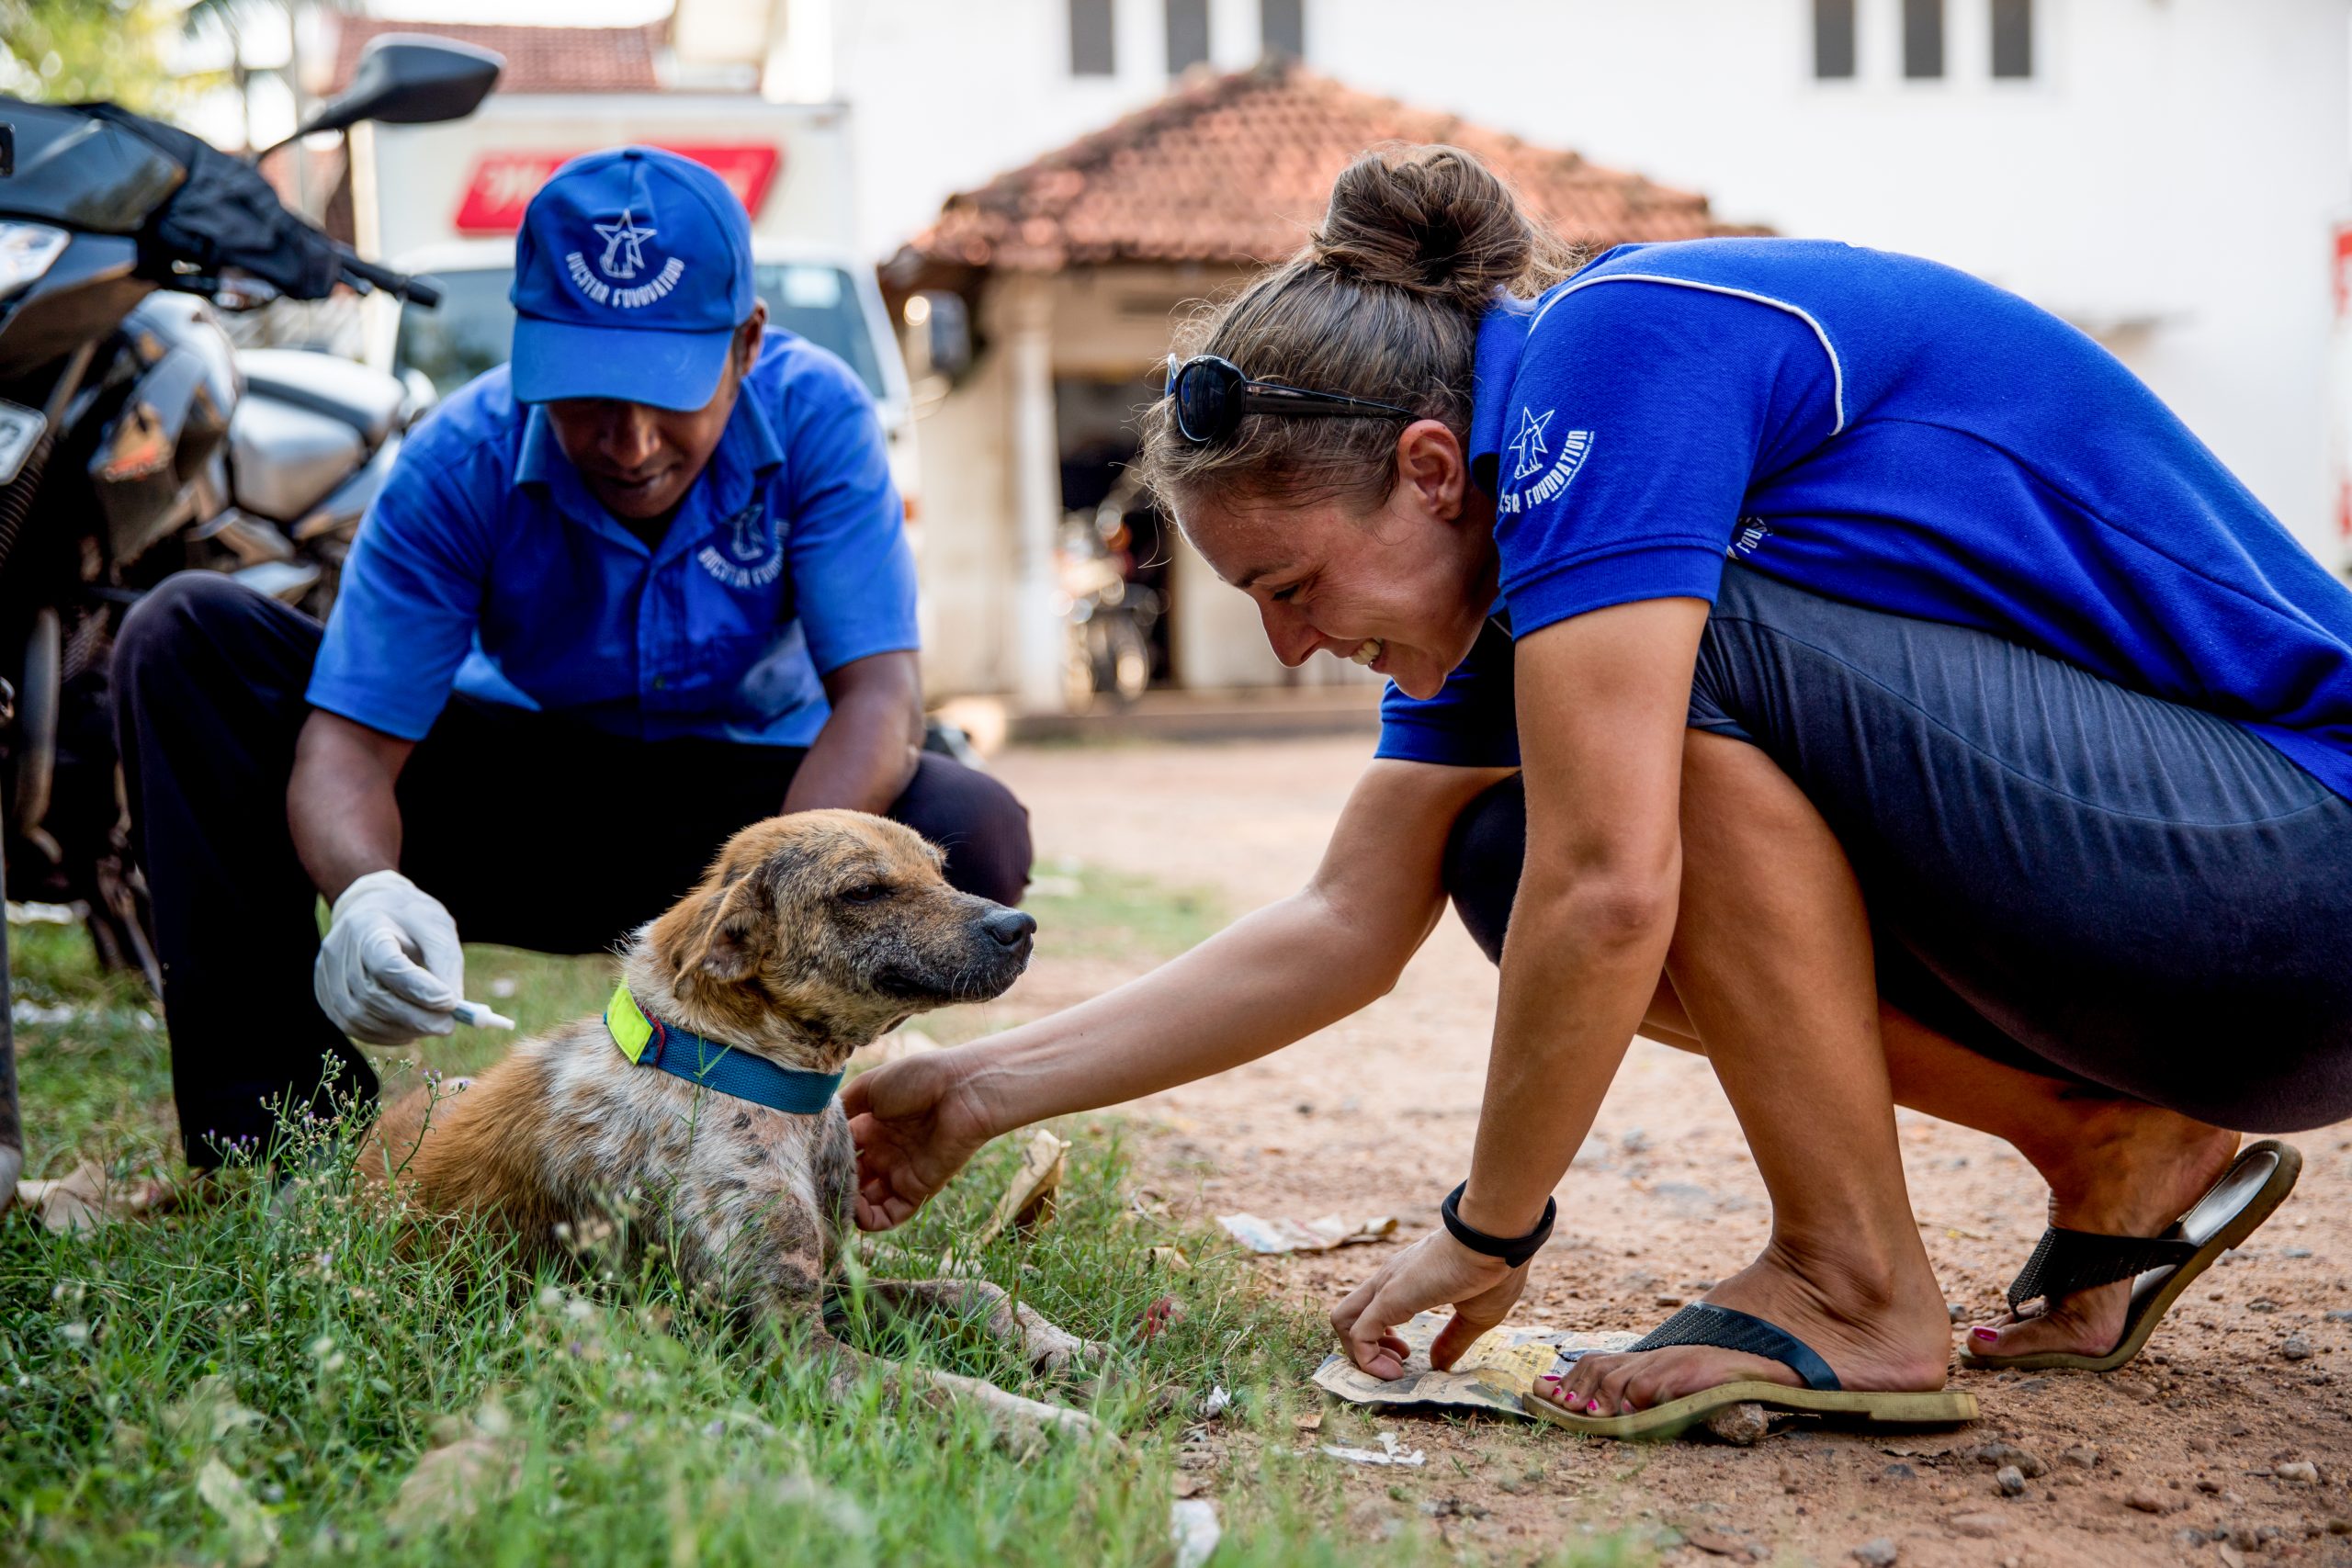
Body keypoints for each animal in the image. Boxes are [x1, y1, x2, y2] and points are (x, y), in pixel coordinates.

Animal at [364, 818, 1101, 1438]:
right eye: (864, 891)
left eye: (940, 871)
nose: (1020, 926)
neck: (754, 1075)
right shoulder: (789, 1345)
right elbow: (945, 1391)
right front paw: (1066, 1433)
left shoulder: (837, 1282)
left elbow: (975, 1290)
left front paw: (1060, 1345)